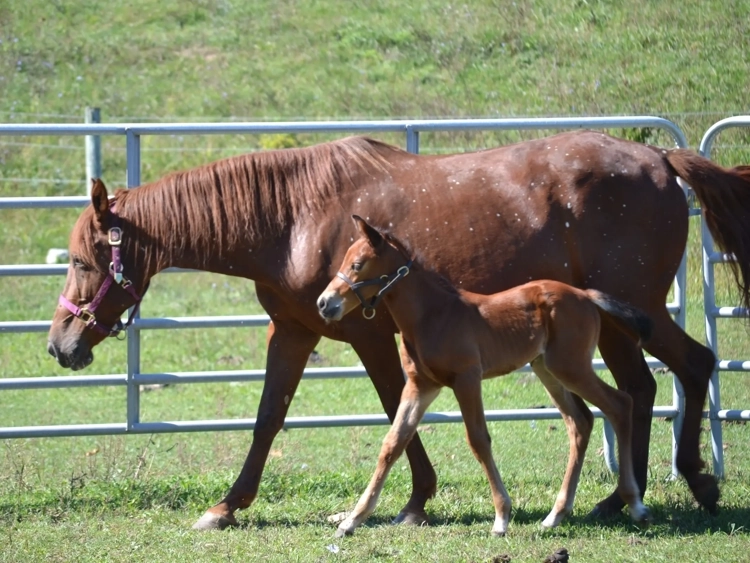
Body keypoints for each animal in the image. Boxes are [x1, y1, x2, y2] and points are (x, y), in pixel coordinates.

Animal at [317, 215, 654, 536]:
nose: (324, 303)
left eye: (357, 265)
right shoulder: (420, 386)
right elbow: (392, 443)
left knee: (619, 403)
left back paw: (635, 505)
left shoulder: (467, 378)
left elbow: (478, 439)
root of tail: (585, 294)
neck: (431, 315)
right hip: (546, 368)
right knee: (580, 421)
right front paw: (352, 521)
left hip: (571, 366)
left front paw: (502, 518)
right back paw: (556, 515)